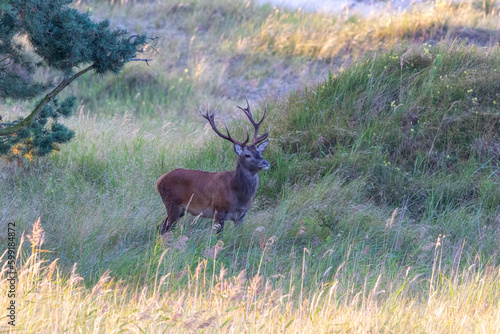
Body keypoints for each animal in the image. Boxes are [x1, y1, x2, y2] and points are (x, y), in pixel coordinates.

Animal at [158, 96, 272, 235]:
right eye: (247, 155)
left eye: (259, 152)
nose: (265, 163)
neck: (237, 194)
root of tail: (159, 180)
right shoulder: (218, 210)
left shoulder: (241, 216)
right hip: (172, 204)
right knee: (164, 228)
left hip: (180, 210)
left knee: (161, 226)